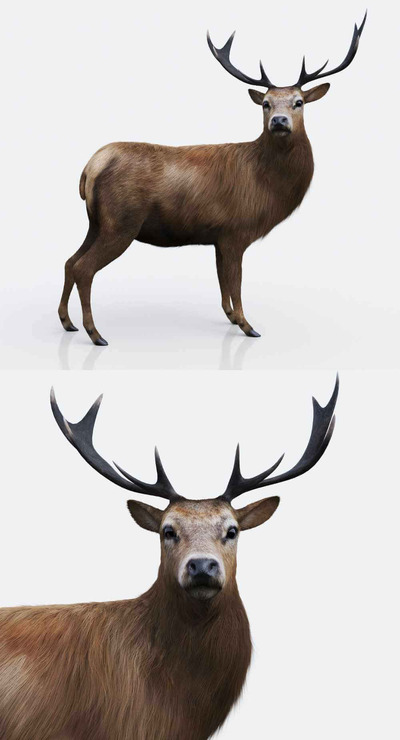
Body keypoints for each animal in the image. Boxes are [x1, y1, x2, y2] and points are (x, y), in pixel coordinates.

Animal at [58, 15, 366, 346]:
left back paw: (67, 322)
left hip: (96, 222)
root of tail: (90, 167)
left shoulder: (218, 237)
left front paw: (231, 317)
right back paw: (95, 333)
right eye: (266, 103)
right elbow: (236, 283)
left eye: (299, 102)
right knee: (84, 268)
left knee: (69, 262)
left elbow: (223, 286)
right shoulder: (236, 231)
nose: (279, 122)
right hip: (121, 222)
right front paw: (247, 325)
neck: (266, 186)